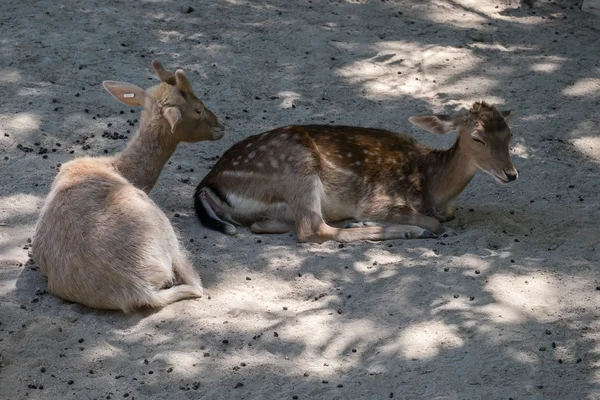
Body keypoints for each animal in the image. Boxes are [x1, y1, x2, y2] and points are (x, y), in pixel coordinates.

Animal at [33, 60, 225, 312]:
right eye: (198, 109)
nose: (221, 125)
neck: (117, 166)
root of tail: (140, 288)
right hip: (164, 228)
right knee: (193, 281)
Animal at [195, 101, 516, 242]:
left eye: (509, 133)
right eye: (477, 137)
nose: (511, 173)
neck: (432, 187)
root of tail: (207, 185)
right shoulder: (379, 200)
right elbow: (436, 223)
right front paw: (412, 225)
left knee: (264, 225)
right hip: (299, 170)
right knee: (312, 229)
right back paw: (406, 230)